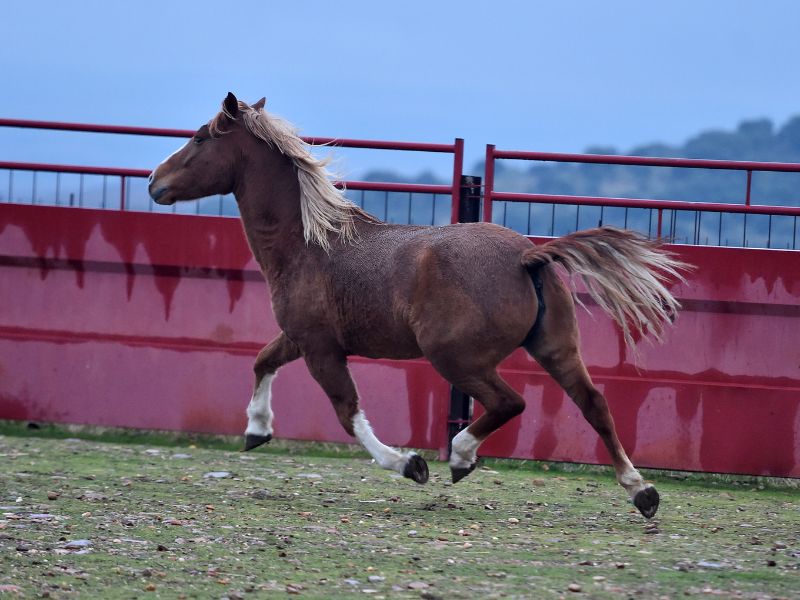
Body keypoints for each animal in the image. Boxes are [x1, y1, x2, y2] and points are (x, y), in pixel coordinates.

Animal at [148, 94, 688, 520]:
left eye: (200, 137)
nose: (155, 180)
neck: (310, 244)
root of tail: (527, 255)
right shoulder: (301, 337)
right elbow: (263, 361)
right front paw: (256, 430)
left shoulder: (321, 347)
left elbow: (347, 411)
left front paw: (410, 464)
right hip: (555, 349)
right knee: (594, 404)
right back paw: (641, 491)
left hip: (455, 358)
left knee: (509, 403)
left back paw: (461, 457)